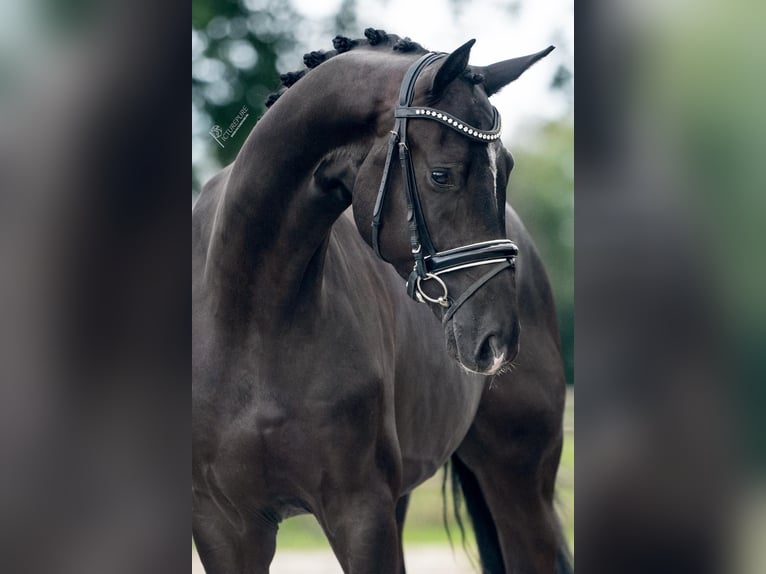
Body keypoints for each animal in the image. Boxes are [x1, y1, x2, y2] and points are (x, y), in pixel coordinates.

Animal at [194, 29, 568, 572]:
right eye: (440, 175)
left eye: (507, 169)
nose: (497, 343)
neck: (251, 315)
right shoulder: (225, 527)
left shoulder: (360, 512)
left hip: (519, 480)